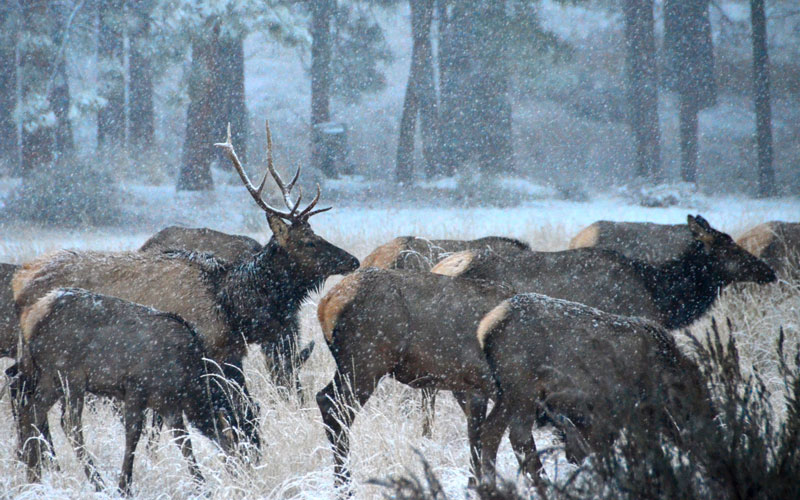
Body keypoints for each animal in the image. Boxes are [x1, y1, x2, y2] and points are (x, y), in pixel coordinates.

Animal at [14, 288, 242, 494]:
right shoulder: (135, 389)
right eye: (234, 443)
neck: (189, 384)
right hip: (70, 375)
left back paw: (33, 478)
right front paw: (124, 487)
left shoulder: (168, 405)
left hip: (50, 377)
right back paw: (98, 483)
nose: (242, 472)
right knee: (69, 424)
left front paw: (202, 487)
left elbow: (183, 441)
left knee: (32, 410)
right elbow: (133, 435)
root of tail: (31, 317)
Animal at [316, 268, 516, 492]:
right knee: (335, 407)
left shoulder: (475, 386)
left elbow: (476, 432)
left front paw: (473, 485)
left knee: (326, 399)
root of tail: (326, 304)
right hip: (365, 363)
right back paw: (345, 485)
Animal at [476, 293, 715, 489]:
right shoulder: (626, 413)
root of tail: (486, 329)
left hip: (506, 393)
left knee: (490, 431)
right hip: (522, 389)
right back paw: (543, 482)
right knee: (518, 434)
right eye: (688, 407)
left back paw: (490, 484)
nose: (707, 450)